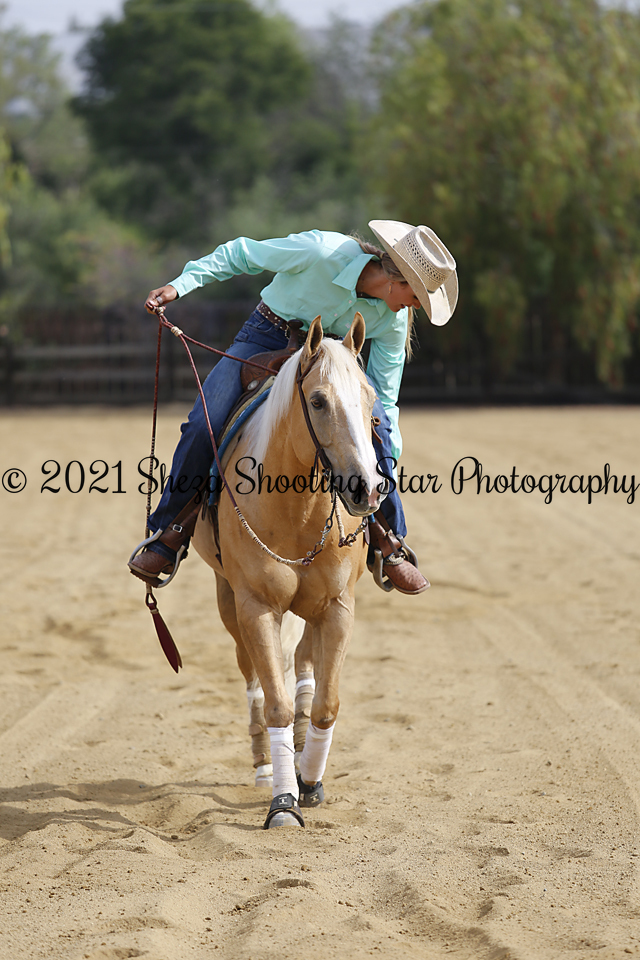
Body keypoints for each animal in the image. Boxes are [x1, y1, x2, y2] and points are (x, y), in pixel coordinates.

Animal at [191, 313, 387, 828]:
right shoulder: (256, 606)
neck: (296, 512)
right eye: (317, 400)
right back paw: (265, 766)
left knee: (303, 666)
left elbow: (325, 704)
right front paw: (283, 801)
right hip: (228, 599)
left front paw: (310, 782)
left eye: (371, 398)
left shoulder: (338, 607)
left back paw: (300, 755)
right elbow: (275, 703)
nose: (366, 488)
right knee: (255, 678)